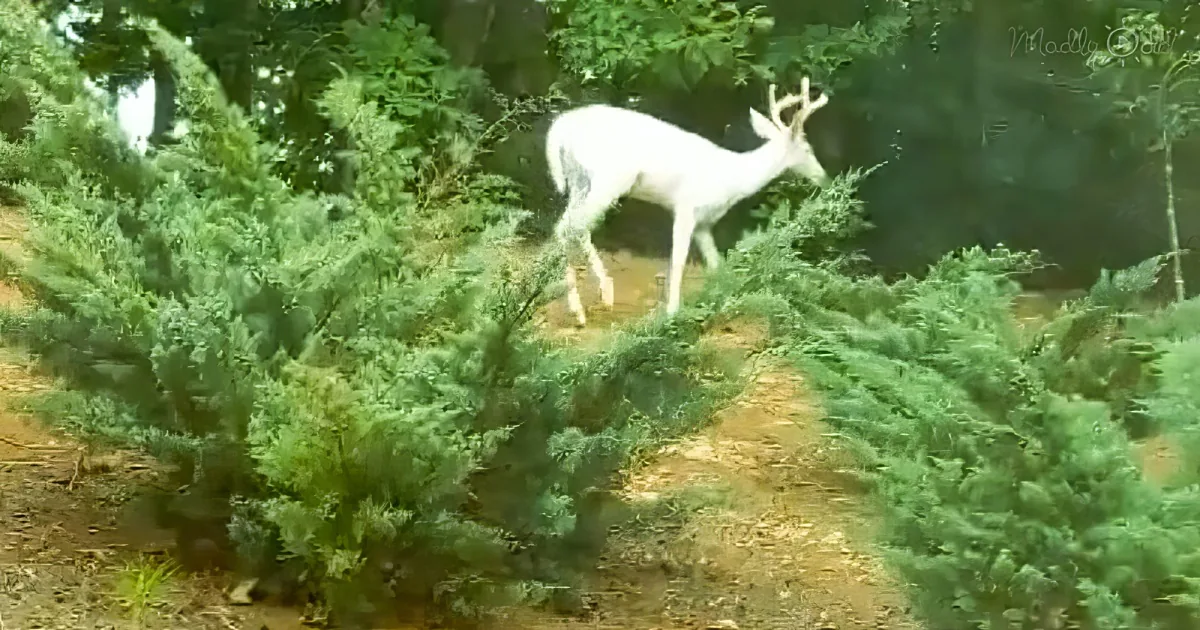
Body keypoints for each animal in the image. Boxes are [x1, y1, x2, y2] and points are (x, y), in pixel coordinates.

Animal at [545, 77, 831, 326]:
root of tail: (558, 130)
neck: (734, 178)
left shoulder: (704, 224)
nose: (824, 177)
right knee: (572, 227)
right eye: (808, 148)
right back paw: (593, 301)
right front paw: (672, 312)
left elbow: (716, 265)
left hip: (580, 181)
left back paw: (586, 304)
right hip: (608, 180)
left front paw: (725, 300)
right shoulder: (685, 208)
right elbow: (678, 260)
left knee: (565, 227)